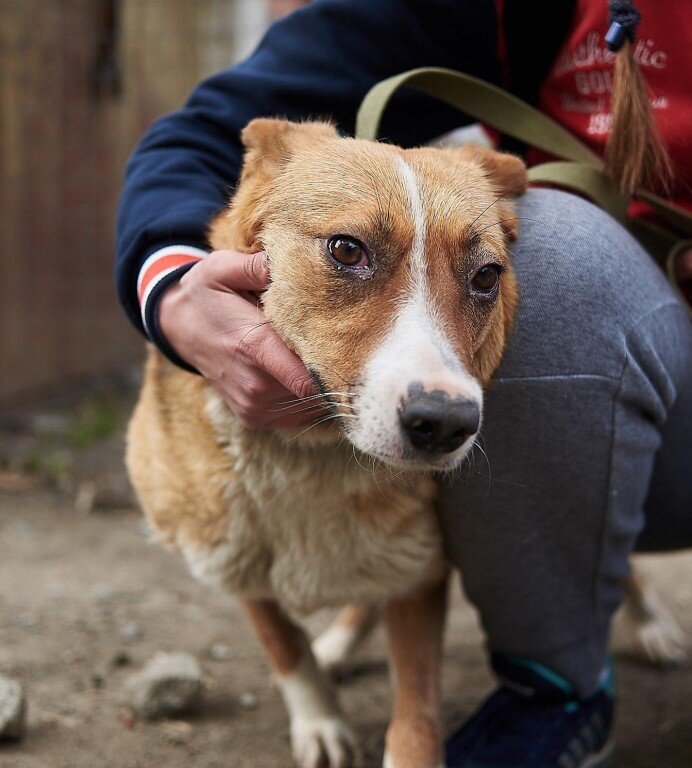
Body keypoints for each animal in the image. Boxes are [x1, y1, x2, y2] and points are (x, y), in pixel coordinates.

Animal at [125, 115, 524, 768]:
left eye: (487, 276)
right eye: (346, 249)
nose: (444, 423)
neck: (313, 457)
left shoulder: (422, 570)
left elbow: (416, 708)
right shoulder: (234, 557)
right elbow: (283, 641)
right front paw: (319, 721)